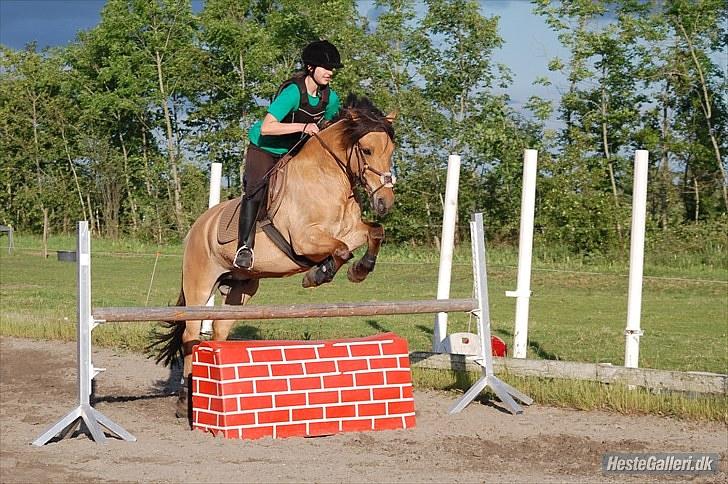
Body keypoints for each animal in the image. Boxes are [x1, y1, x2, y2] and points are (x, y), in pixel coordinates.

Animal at [150, 95, 396, 416]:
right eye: (366, 150)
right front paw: (318, 274)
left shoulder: (351, 230)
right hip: (199, 286)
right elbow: (340, 250)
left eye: (391, 151)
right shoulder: (304, 240)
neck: (328, 179)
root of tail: (197, 227)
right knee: (190, 337)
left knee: (217, 332)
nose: (385, 202)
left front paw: (360, 269)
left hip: (241, 290)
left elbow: (374, 232)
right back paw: (184, 401)